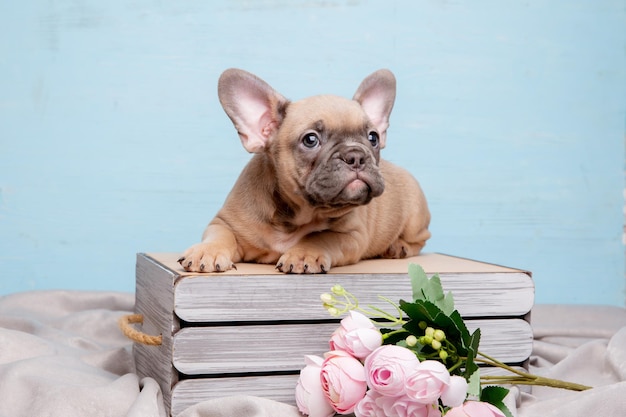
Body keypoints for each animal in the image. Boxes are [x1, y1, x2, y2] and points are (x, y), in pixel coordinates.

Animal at [178, 68, 426, 272]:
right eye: (310, 140)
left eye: (373, 137)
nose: (356, 156)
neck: (298, 215)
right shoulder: (224, 222)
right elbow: (220, 235)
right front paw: (206, 251)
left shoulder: (352, 235)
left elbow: (322, 237)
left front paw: (304, 254)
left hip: (415, 217)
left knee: (420, 240)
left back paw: (398, 247)